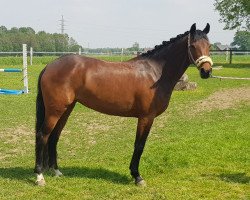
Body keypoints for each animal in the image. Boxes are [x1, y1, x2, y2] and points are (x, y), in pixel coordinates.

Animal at [33, 23, 213, 186]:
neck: (156, 73)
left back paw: (56, 171)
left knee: (54, 136)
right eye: (193, 45)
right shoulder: (146, 117)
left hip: (66, 109)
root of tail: (50, 65)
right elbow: (139, 145)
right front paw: (137, 176)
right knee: (42, 135)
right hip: (55, 111)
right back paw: (40, 176)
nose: (206, 71)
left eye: (209, 45)